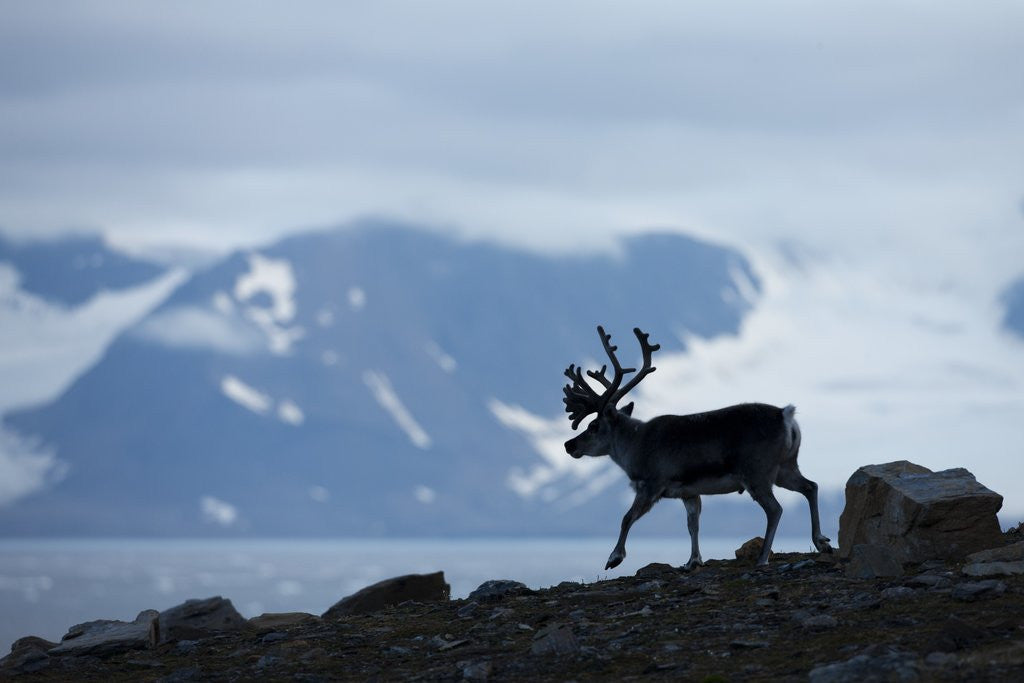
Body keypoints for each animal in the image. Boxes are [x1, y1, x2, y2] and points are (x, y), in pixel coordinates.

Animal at [563, 325, 833, 570]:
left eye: (594, 425)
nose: (568, 444)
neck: (634, 445)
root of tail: (786, 416)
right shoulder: (689, 492)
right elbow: (693, 524)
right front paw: (693, 560)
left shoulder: (652, 483)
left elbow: (626, 518)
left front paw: (614, 558)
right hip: (785, 467)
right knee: (811, 486)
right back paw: (822, 541)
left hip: (757, 472)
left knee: (775, 509)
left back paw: (763, 557)